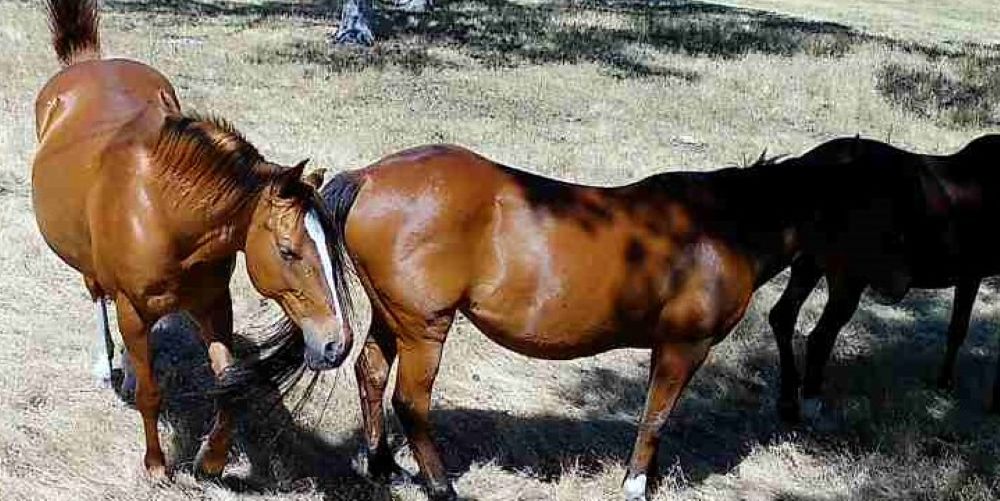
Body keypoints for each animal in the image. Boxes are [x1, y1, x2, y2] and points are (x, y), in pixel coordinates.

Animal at [33, 0, 355, 478]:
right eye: (288, 251)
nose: (338, 344)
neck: (162, 211)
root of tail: (87, 61)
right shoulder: (133, 309)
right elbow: (151, 393)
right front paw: (156, 466)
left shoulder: (214, 304)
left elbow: (228, 385)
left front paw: (212, 459)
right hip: (92, 271)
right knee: (97, 295)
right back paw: (106, 365)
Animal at [317, 143, 882, 500]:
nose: (875, 279)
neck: (722, 227)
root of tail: (370, 176)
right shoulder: (685, 345)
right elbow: (656, 416)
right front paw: (635, 486)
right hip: (424, 325)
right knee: (411, 401)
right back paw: (441, 486)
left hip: (393, 317)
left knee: (370, 372)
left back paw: (382, 466)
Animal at [768, 134, 1000, 422]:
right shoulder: (972, 274)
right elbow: (960, 329)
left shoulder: (970, 275)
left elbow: (957, 329)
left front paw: (944, 383)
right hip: (848, 278)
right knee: (820, 336)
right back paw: (811, 400)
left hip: (808, 265)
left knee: (782, 317)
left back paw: (788, 401)